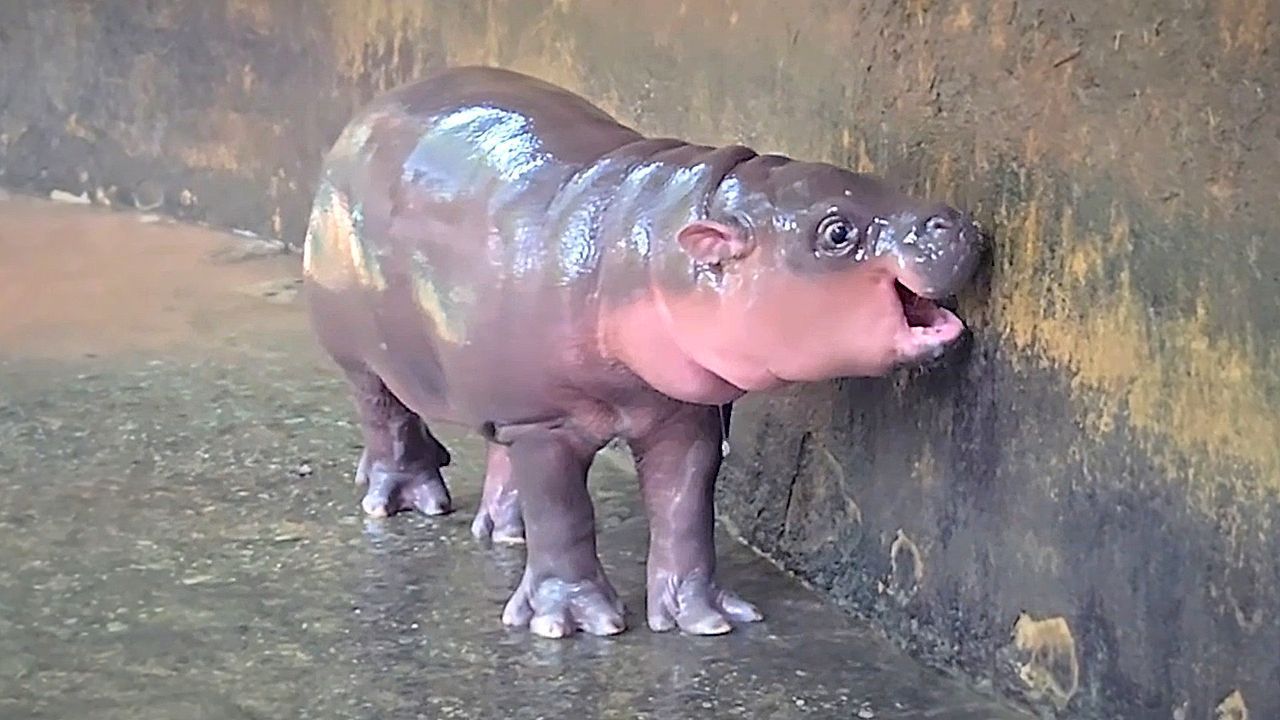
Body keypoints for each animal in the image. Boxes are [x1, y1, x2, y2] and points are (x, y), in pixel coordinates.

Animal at [302, 66, 981, 639]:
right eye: (836, 231)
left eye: (867, 179)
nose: (948, 219)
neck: (653, 242)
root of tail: (370, 111)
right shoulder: (547, 426)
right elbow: (566, 516)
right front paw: (574, 623)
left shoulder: (679, 414)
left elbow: (685, 512)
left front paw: (706, 619)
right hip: (361, 350)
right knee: (385, 414)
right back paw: (408, 502)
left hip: (500, 384)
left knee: (497, 447)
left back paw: (507, 536)